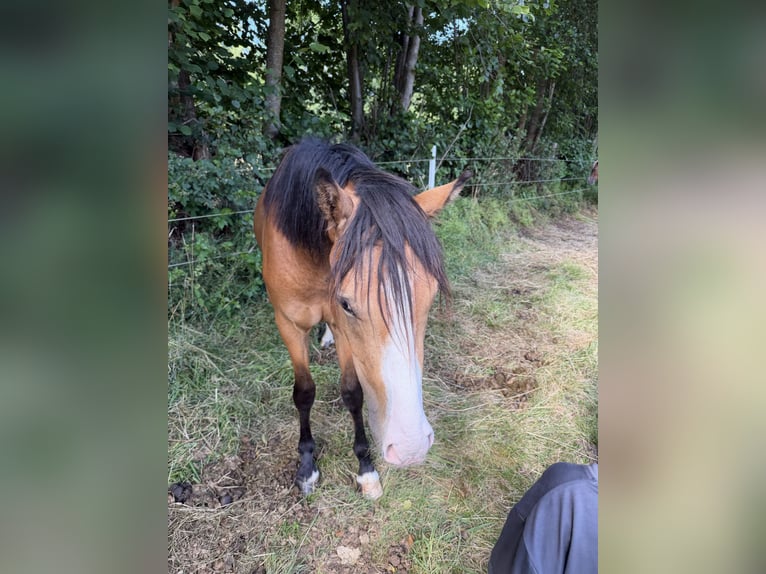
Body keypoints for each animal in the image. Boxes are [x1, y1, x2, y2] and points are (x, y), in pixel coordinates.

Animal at [254, 138, 471, 499]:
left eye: (430, 298)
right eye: (347, 303)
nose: (410, 448)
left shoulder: (345, 333)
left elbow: (353, 393)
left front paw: (365, 468)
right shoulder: (289, 324)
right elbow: (304, 392)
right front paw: (307, 465)